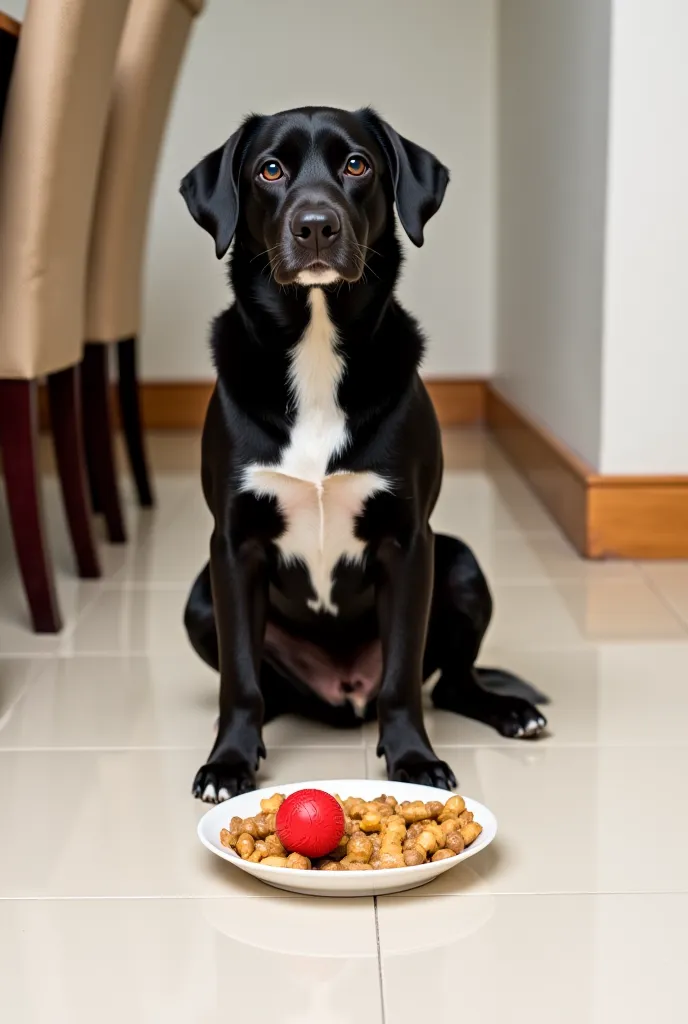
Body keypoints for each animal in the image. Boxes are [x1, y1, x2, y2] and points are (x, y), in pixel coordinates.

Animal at [180, 108, 544, 802]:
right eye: (270, 169)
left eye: (357, 165)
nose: (316, 225)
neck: (317, 345)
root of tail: (343, 693)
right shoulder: (232, 545)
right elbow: (238, 678)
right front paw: (229, 762)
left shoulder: (409, 542)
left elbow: (403, 677)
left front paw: (413, 759)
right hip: (199, 599)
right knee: (267, 689)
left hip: (461, 563)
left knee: (451, 683)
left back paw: (510, 710)